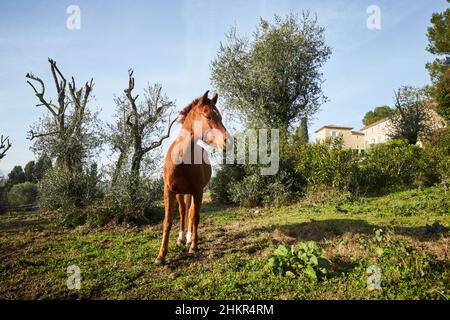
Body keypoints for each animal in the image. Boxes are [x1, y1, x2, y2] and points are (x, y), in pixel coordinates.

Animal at [156, 90, 230, 264]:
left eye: (220, 117)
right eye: (208, 116)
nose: (227, 142)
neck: (181, 159)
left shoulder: (198, 191)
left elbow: (195, 217)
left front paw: (194, 247)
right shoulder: (168, 191)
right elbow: (168, 221)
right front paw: (161, 255)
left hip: (191, 193)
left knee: (189, 213)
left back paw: (189, 240)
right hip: (180, 193)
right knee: (183, 211)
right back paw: (181, 238)